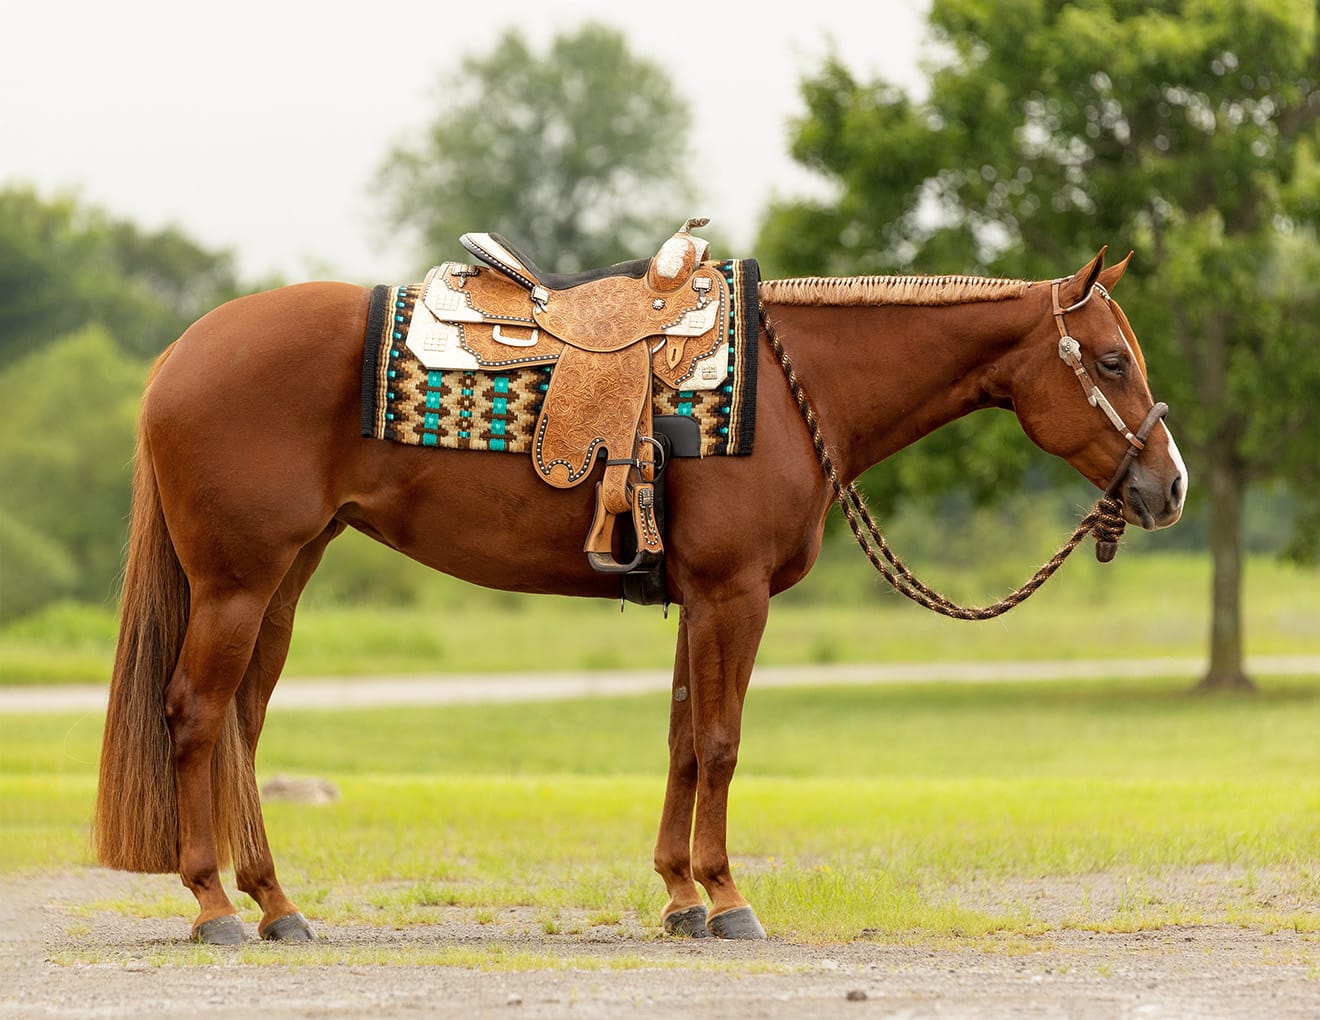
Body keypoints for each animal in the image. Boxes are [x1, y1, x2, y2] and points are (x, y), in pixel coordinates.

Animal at [90, 248, 1188, 944]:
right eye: (1114, 360)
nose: (1168, 486)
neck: (790, 390)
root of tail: (178, 355)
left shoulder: (695, 601)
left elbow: (680, 738)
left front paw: (678, 896)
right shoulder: (735, 596)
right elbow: (721, 743)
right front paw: (729, 899)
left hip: (283, 579)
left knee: (241, 725)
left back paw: (277, 906)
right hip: (237, 582)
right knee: (196, 716)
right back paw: (216, 910)